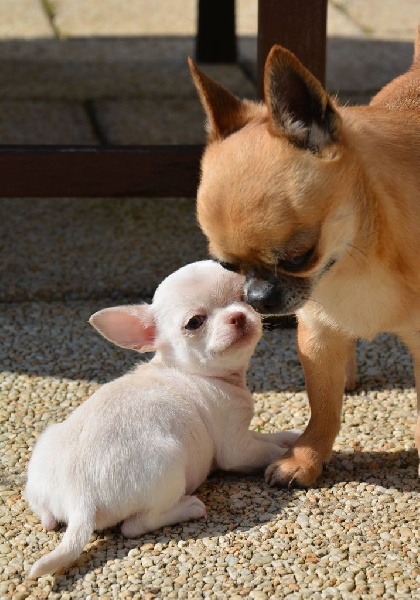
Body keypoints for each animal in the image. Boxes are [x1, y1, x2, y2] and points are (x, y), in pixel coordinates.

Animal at [24, 260, 300, 580]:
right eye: (194, 323)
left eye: (245, 299)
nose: (238, 316)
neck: (191, 371)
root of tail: (79, 500)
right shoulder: (237, 448)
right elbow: (266, 450)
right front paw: (293, 457)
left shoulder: (245, 434)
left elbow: (267, 437)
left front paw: (292, 436)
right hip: (169, 466)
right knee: (134, 526)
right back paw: (188, 508)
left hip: (45, 452)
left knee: (44, 513)